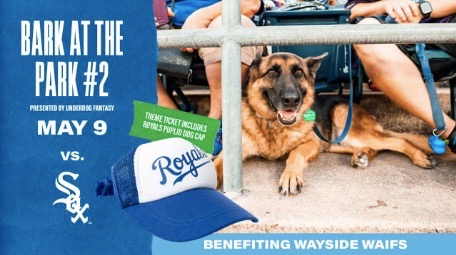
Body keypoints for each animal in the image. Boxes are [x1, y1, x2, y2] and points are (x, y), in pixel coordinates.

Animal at [214, 51, 438, 195]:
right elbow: (216, 163)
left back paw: (419, 157)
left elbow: (295, 154)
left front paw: (290, 176)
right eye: (272, 72)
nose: (291, 100)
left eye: (299, 73)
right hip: (334, 143)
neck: (273, 125)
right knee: (374, 148)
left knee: (396, 142)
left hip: (346, 124)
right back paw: (361, 155)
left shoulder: (311, 143)